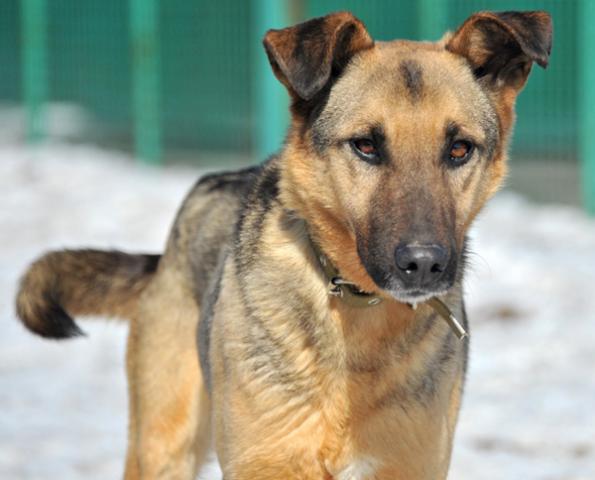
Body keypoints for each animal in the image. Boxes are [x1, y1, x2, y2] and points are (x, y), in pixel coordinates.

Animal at [16, 10, 552, 480]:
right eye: (366, 146)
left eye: (459, 149)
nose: (424, 264)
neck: (356, 310)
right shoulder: (267, 462)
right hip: (163, 446)